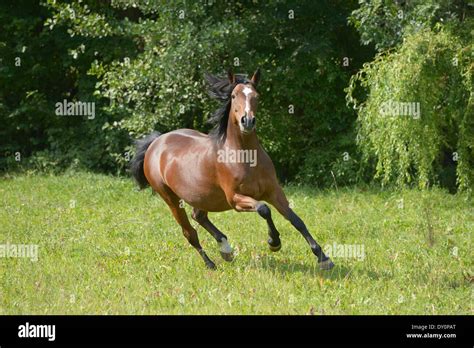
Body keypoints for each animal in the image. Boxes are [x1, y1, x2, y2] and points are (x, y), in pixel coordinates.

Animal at [131, 67, 336, 270]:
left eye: (256, 96)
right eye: (233, 96)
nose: (248, 121)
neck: (246, 157)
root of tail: (156, 143)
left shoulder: (274, 192)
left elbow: (296, 220)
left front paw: (323, 257)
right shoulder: (235, 199)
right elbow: (263, 209)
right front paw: (274, 242)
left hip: (202, 197)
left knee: (199, 216)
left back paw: (225, 249)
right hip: (171, 199)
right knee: (189, 233)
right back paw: (211, 263)